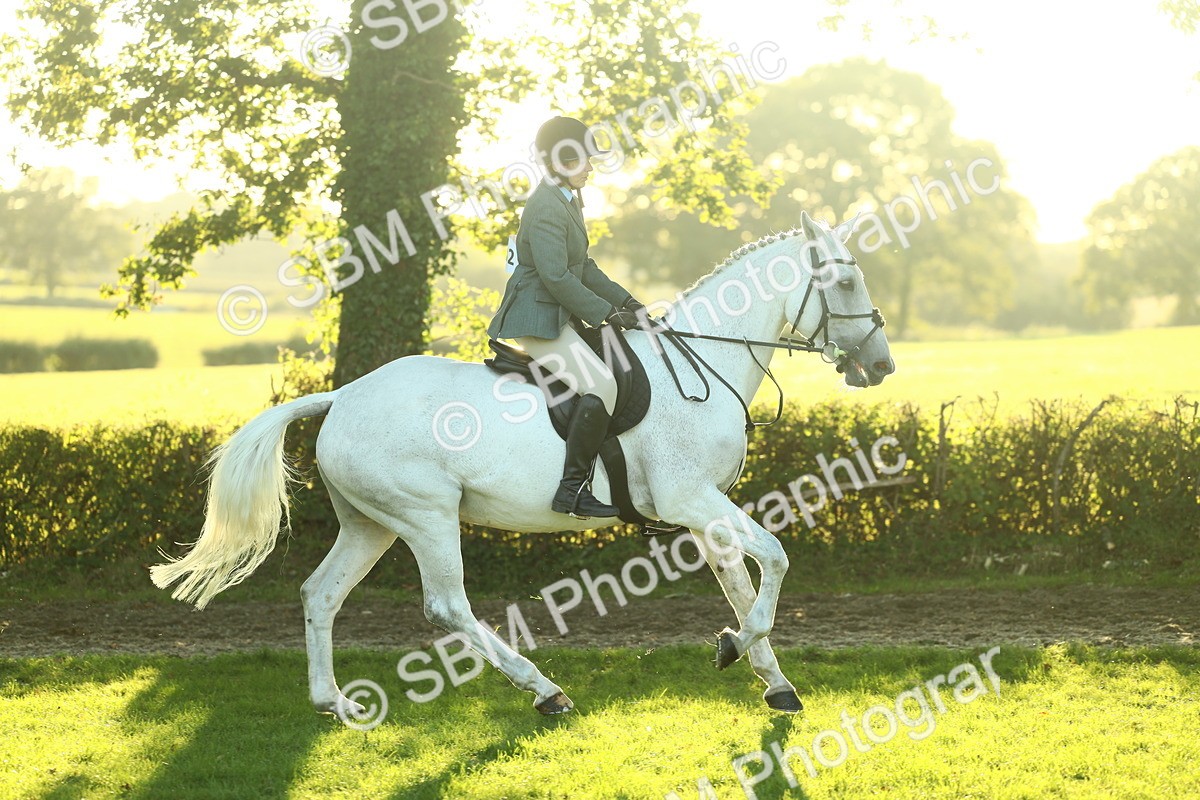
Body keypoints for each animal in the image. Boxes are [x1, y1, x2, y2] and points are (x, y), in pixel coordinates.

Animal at [150, 210, 894, 718]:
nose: (882, 365)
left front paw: (773, 681)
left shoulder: (703, 507)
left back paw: (332, 701)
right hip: (425, 516)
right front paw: (735, 648)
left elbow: (741, 584)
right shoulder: (690, 499)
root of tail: (344, 396)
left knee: (321, 593)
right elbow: (774, 560)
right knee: (447, 605)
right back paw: (545, 692)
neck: (702, 360)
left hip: (372, 523)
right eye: (845, 280)